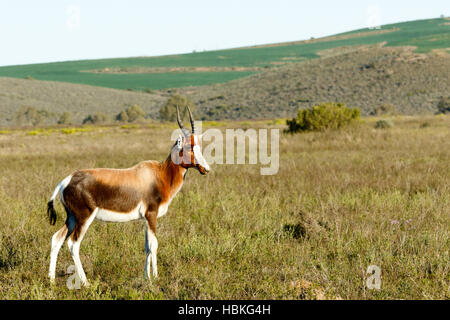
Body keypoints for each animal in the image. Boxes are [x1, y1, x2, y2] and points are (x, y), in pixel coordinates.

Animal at [47, 107, 209, 284]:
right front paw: (155, 278)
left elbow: (146, 246)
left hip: (71, 218)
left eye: (198, 146)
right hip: (84, 218)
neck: (159, 175)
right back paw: (85, 282)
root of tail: (67, 180)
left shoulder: (145, 219)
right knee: (73, 244)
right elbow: (154, 245)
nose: (205, 169)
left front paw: (147, 276)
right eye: (188, 147)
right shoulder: (151, 215)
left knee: (56, 239)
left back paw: (51, 280)